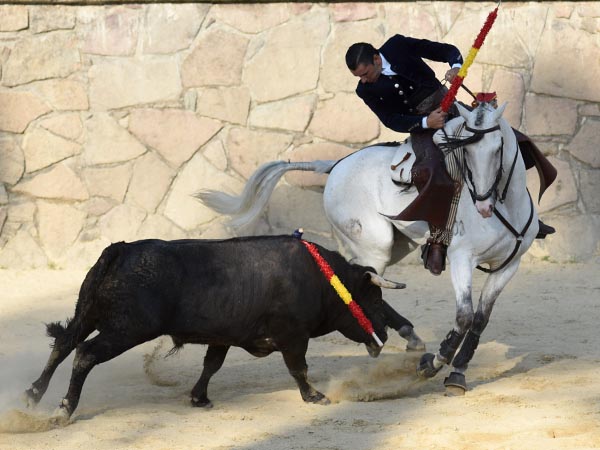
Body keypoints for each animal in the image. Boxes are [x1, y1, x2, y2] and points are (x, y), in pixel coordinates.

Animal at [25, 237, 414, 416]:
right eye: (373, 299)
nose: (385, 335)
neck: (322, 278)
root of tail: (121, 249)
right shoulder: (293, 336)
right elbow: (298, 368)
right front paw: (315, 396)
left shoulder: (224, 336)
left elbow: (211, 365)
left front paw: (199, 397)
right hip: (125, 330)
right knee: (85, 354)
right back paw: (64, 407)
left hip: (88, 314)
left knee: (63, 344)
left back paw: (34, 394)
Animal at [198, 103, 540, 394]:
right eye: (466, 150)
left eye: (498, 148)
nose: (482, 205)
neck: (505, 208)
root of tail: (336, 165)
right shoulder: (461, 259)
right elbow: (465, 316)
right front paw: (433, 364)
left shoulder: (509, 266)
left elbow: (480, 318)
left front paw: (457, 372)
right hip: (375, 244)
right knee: (360, 278)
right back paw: (389, 338)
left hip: (398, 243)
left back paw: (409, 335)